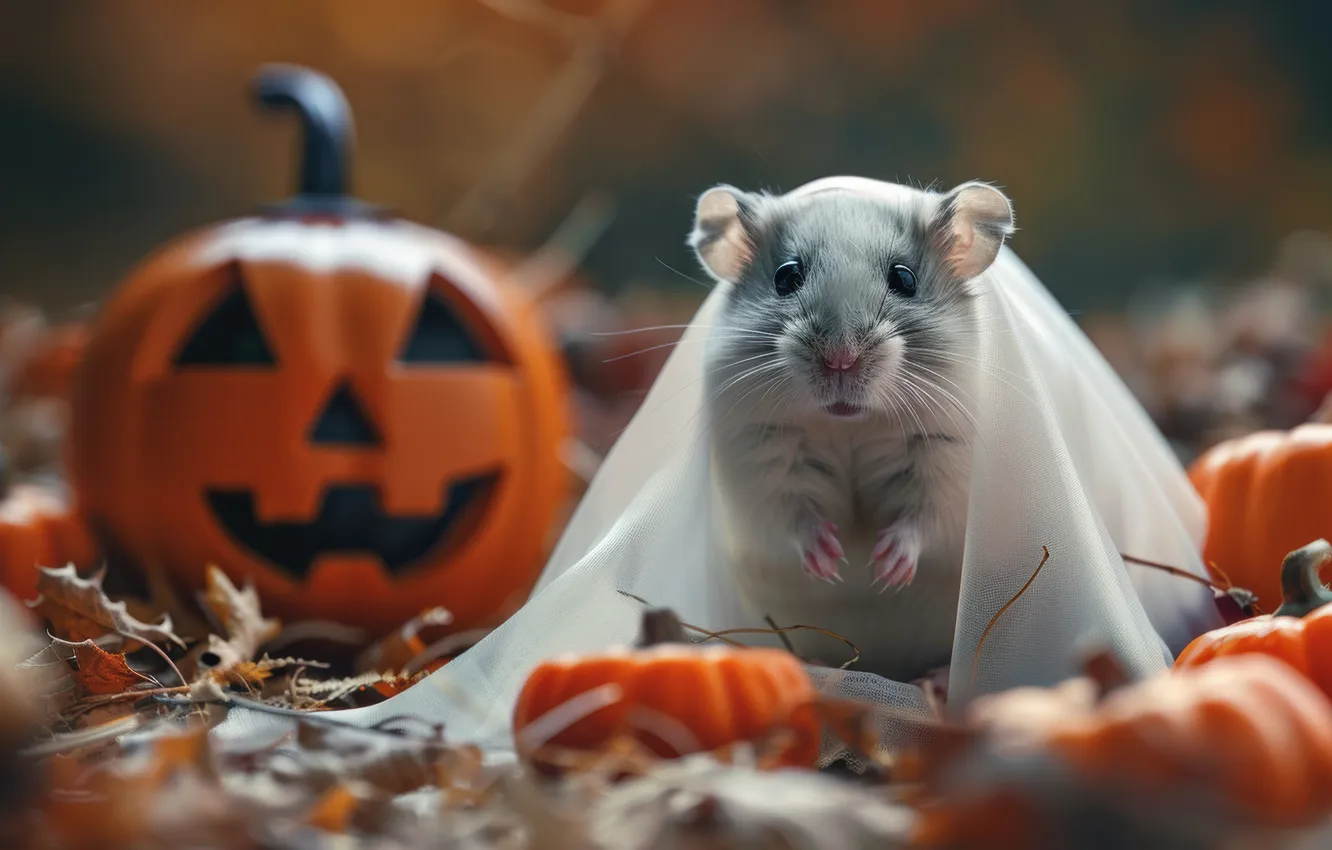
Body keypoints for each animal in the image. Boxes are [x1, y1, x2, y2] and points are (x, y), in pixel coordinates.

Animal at [688, 178, 1015, 684]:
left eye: (905, 279)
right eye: (786, 277)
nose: (840, 359)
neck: (850, 425)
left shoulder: (950, 462)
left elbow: (923, 519)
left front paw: (887, 569)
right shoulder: (760, 458)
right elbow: (792, 515)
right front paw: (831, 562)